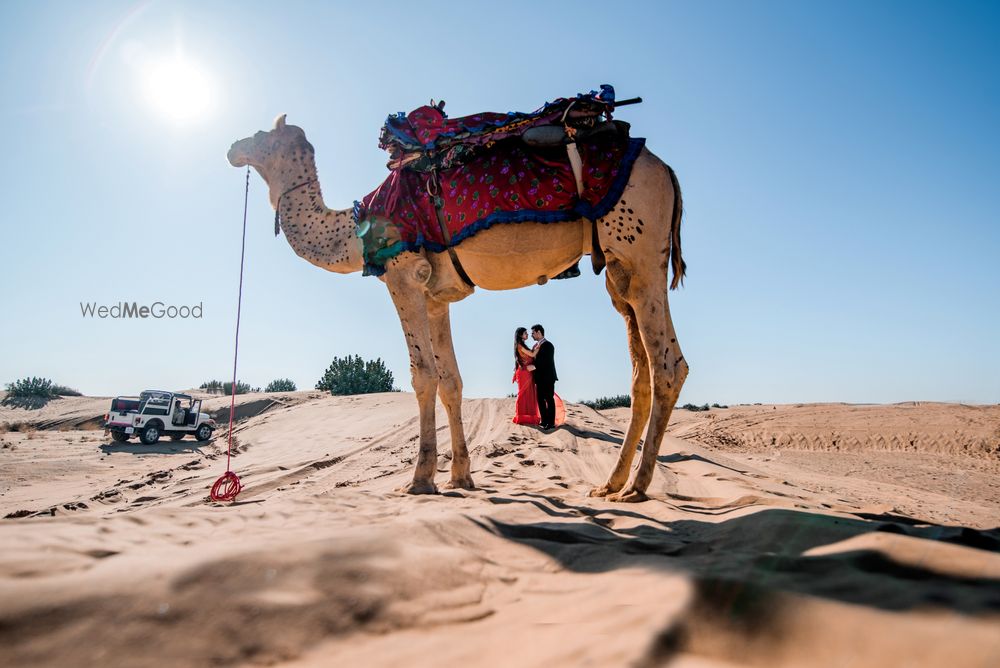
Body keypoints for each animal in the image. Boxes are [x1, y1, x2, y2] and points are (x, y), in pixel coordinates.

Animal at [229, 113, 688, 500]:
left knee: (669, 365)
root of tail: (666, 171)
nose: (233, 147)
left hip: (640, 248)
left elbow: (423, 376)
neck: (353, 230)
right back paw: (611, 484)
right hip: (619, 271)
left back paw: (638, 487)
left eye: (261, 134)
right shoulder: (436, 296)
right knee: (641, 370)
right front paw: (461, 477)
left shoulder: (402, 275)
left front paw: (419, 481)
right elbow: (451, 381)